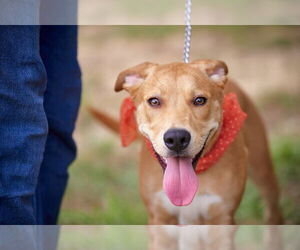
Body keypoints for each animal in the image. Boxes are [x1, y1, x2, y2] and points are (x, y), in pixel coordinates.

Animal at [89, 59, 284, 226]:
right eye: (154, 101)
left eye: (199, 100)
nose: (176, 138)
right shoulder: (160, 219)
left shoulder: (222, 218)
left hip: (263, 170)